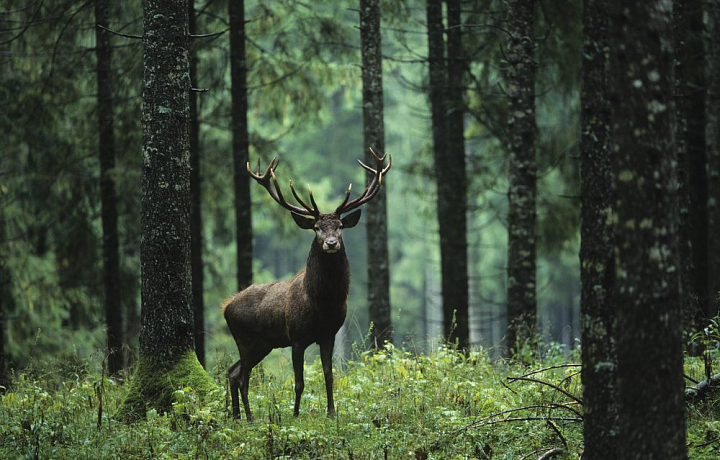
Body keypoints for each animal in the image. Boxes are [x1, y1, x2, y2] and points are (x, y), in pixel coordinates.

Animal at [225, 148, 394, 420]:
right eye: (316, 228)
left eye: (340, 226)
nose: (331, 243)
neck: (322, 304)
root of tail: (226, 307)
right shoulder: (296, 337)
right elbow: (299, 382)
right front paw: (295, 415)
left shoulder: (329, 334)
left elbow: (329, 375)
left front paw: (332, 412)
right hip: (245, 338)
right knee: (241, 377)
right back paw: (249, 418)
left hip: (263, 343)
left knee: (232, 372)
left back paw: (237, 416)